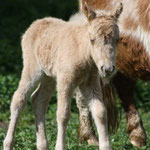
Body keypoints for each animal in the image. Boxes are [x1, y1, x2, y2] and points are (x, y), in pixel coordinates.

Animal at [3, 2, 122, 150]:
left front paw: (105, 146)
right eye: (92, 40)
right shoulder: (66, 80)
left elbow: (100, 112)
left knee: (38, 100)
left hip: (48, 76)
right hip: (32, 69)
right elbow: (63, 114)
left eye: (117, 40)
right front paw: (60, 146)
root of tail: (34, 24)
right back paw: (8, 144)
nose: (107, 69)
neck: (83, 53)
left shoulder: (91, 82)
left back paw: (42, 145)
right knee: (19, 99)